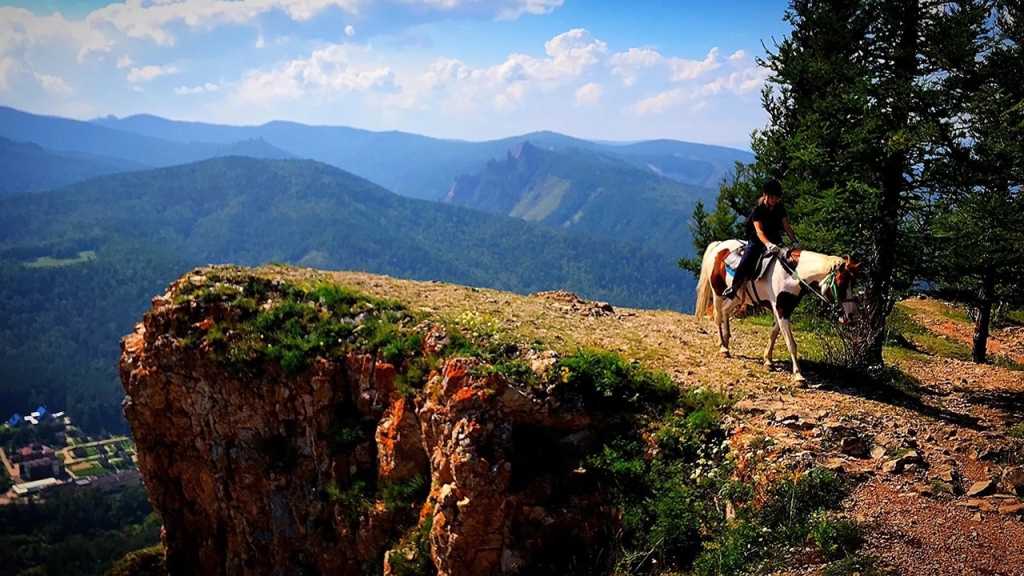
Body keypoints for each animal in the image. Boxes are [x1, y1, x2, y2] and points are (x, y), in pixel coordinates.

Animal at [694, 240, 861, 382]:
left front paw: (768, 360)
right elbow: (791, 343)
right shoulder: (781, 309)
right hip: (717, 292)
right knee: (718, 316)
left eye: (853, 283)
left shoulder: (783, 310)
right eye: (841, 283)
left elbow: (774, 333)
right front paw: (799, 376)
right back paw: (723, 347)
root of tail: (719, 245)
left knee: (725, 312)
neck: (792, 274)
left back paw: (727, 342)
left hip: (736, 297)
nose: (851, 315)